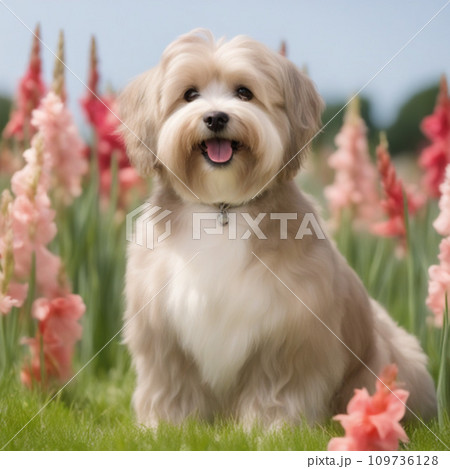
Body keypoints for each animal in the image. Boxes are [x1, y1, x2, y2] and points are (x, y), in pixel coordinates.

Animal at [118, 27, 436, 426]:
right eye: (189, 94)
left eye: (244, 92)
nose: (216, 117)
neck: (222, 209)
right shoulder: (163, 333)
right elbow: (172, 384)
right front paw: (165, 425)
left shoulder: (287, 333)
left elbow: (276, 387)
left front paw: (270, 427)